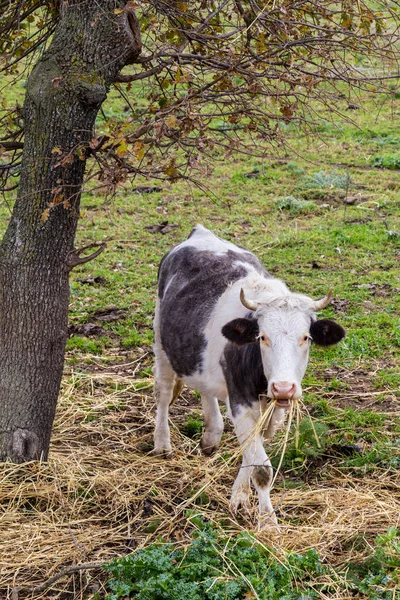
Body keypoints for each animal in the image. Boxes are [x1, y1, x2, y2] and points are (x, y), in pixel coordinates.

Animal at [152, 225, 346, 524]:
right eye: (262, 337)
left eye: (306, 337)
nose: (284, 388)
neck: (262, 378)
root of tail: (199, 232)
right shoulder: (241, 400)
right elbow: (261, 467)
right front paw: (268, 523)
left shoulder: (273, 411)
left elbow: (251, 455)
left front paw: (240, 498)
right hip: (160, 338)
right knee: (163, 392)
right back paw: (162, 443)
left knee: (206, 390)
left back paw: (211, 435)